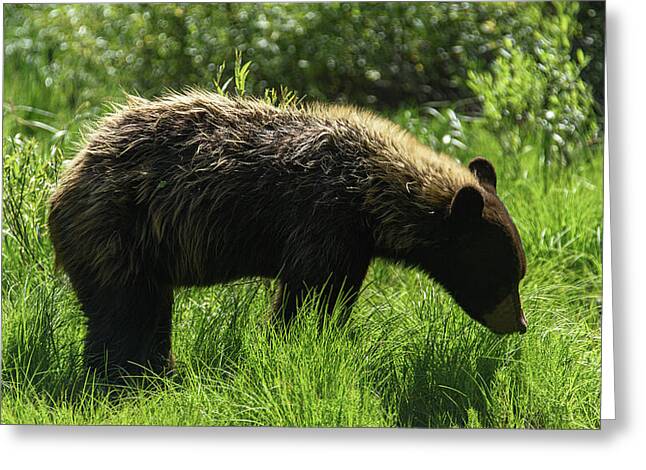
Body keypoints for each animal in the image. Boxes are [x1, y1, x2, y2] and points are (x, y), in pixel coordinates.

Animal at [48, 90, 527, 381]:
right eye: (507, 274)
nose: (520, 324)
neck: (369, 198)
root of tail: (70, 170)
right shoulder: (321, 220)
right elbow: (308, 293)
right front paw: (295, 341)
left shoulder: (353, 245)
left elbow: (336, 295)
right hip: (118, 232)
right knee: (125, 310)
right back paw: (126, 377)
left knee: (146, 310)